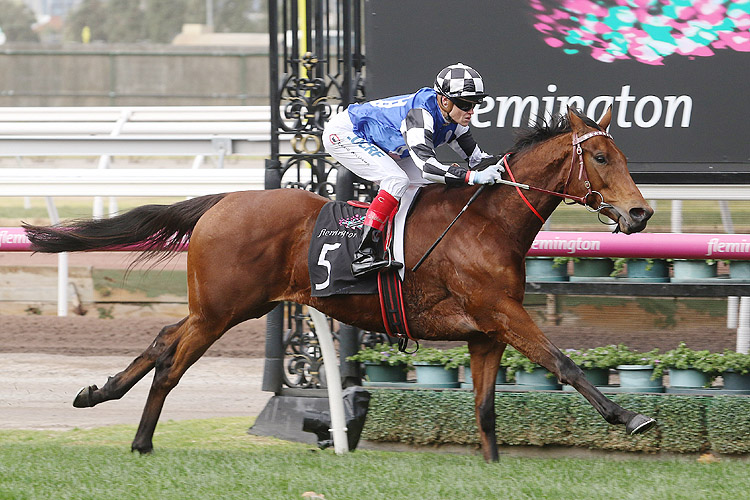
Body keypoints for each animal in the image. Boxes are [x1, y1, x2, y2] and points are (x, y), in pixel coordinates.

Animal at [25, 108, 656, 460]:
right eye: (602, 157)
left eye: (621, 154)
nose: (641, 213)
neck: (486, 222)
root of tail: (222, 201)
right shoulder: (501, 313)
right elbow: (565, 363)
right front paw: (632, 418)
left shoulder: (486, 333)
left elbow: (485, 410)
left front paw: (494, 466)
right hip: (221, 311)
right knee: (171, 366)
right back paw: (140, 440)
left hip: (221, 307)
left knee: (161, 340)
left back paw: (98, 393)